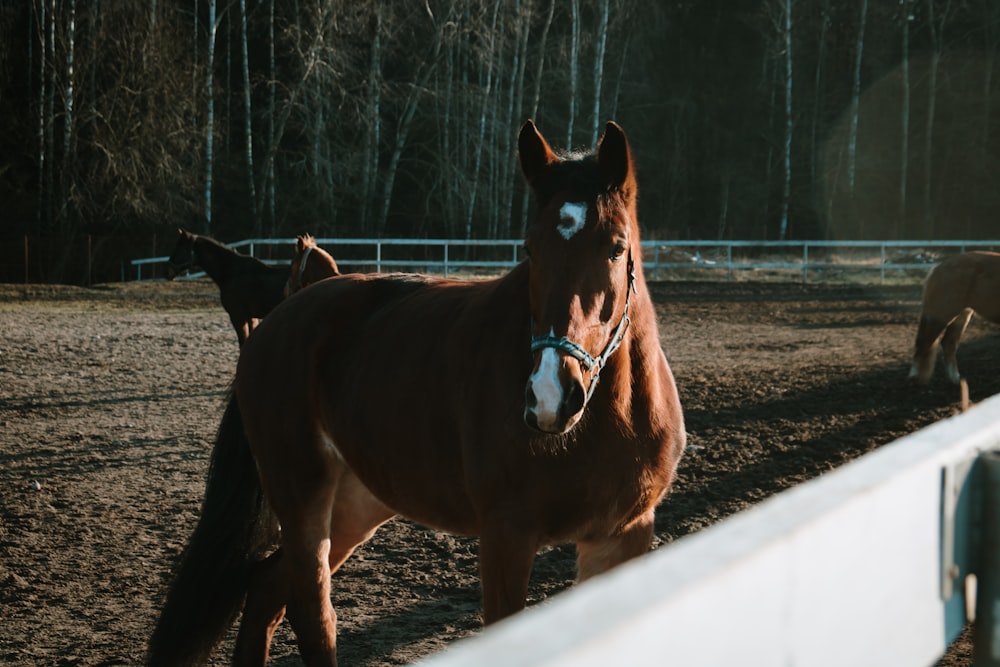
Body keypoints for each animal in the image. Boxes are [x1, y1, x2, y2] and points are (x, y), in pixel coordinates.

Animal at [146, 121, 688, 667]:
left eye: (616, 248)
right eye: (531, 249)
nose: (550, 396)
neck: (604, 427)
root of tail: (279, 319)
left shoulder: (623, 536)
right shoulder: (506, 537)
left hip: (357, 502)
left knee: (264, 592)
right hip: (302, 496)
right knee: (313, 614)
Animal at [908, 250, 1000, 384]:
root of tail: (939, 267)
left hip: (961, 317)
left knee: (948, 343)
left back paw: (955, 379)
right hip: (941, 316)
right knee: (924, 342)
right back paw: (913, 375)